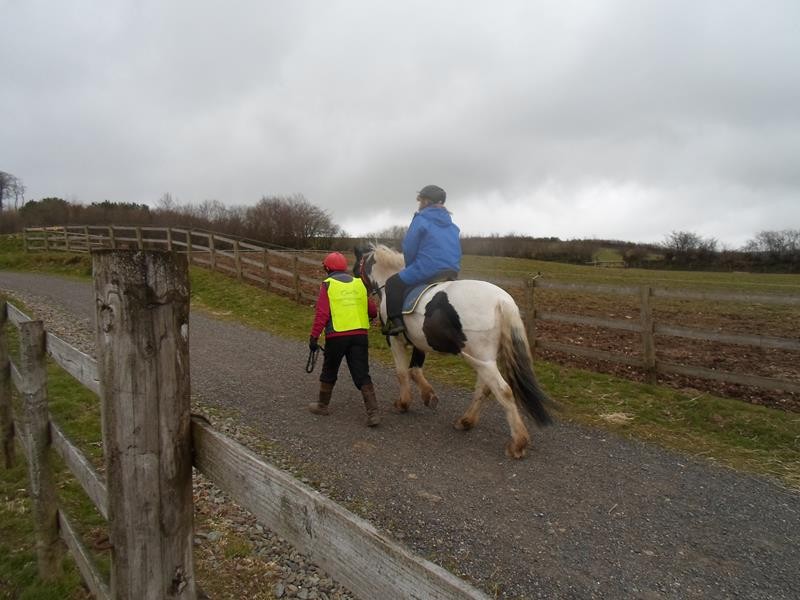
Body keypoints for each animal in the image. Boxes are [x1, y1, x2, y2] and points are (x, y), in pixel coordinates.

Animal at [354, 244, 552, 460]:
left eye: (356, 267)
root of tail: (502, 300)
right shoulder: (420, 341)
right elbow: (415, 370)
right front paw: (429, 396)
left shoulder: (395, 340)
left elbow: (402, 372)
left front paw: (403, 403)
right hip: (485, 359)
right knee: (485, 388)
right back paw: (466, 421)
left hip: (480, 358)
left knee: (503, 391)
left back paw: (518, 443)